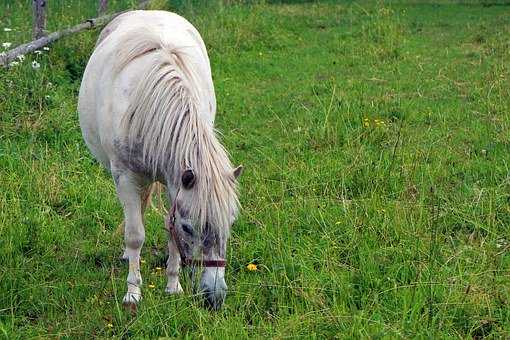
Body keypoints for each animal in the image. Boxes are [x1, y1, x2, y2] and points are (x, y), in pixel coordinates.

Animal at [77, 10, 243, 310]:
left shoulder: (174, 181)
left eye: (231, 221)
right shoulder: (125, 176)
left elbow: (169, 230)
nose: (214, 297)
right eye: (189, 227)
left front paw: (173, 286)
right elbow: (135, 235)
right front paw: (132, 292)